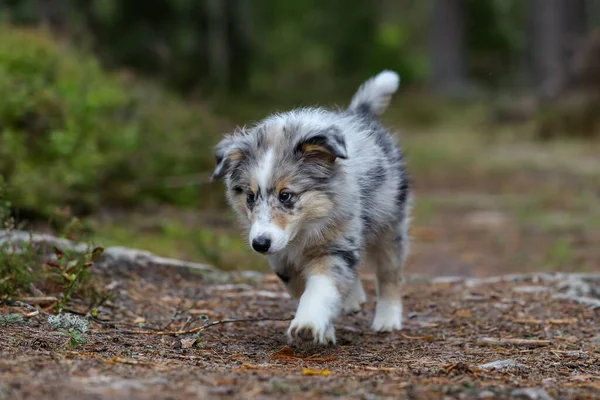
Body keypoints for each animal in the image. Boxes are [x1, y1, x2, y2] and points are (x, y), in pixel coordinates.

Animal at [211, 70, 412, 346]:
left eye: (286, 195)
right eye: (250, 197)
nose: (259, 244)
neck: (304, 231)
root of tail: (360, 114)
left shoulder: (336, 243)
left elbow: (320, 287)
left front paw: (308, 324)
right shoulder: (281, 258)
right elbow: (300, 288)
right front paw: (326, 329)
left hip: (390, 224)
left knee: (389, 273)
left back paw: (387, 319)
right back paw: (353, 299)